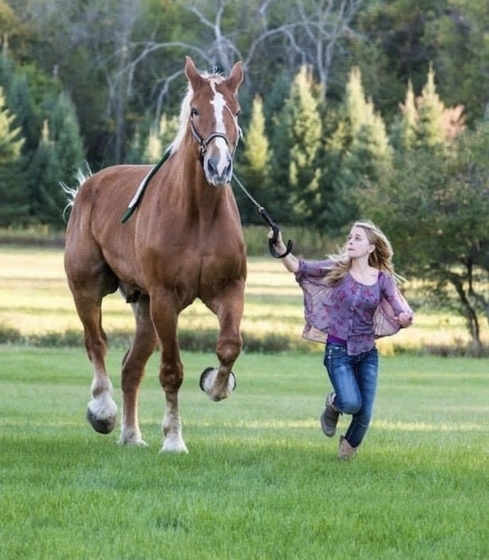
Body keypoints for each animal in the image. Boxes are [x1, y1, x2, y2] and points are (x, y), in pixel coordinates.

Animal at [64, 55, 246, 450]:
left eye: (236, 111)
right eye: (195, 111)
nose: (218, 166)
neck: (199, 215)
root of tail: (87, 185)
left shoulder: (229, 291)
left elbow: (229, 346)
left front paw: (216, 384)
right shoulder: (166, 299)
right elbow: (171, 372)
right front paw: (174, 439)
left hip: (144, 307)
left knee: (131, 367)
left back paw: (131, 435)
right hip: (88, 287)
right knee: (96, 343)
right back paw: (103, 410)